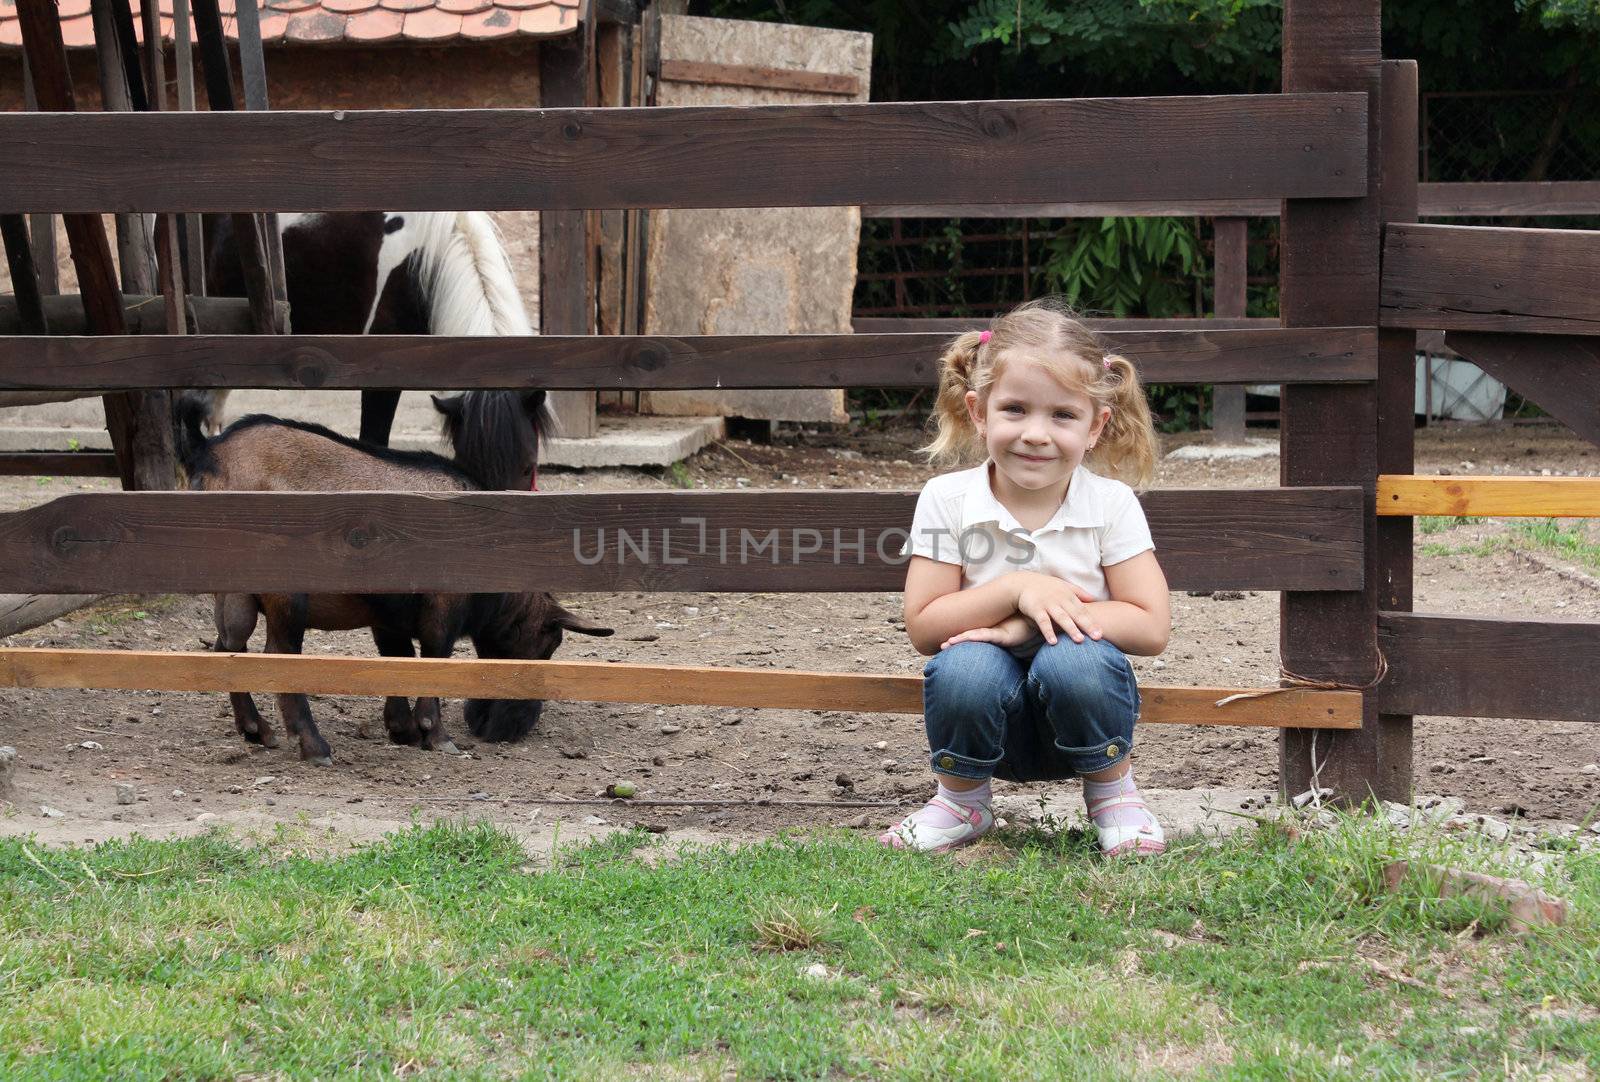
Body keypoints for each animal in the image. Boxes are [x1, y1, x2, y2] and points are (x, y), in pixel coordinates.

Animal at [175, 388, 611, 761]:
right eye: (547, 645)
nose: (504, 730)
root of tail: (209, 453)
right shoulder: (442, 609)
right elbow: (434, 659)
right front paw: (436, 735)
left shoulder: (388, 616)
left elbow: (397, 659)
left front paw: (402, 729)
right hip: (285, 592)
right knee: (279, 656)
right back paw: (314, 746)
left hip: (233, 590)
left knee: (228, 644)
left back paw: (256, 730)